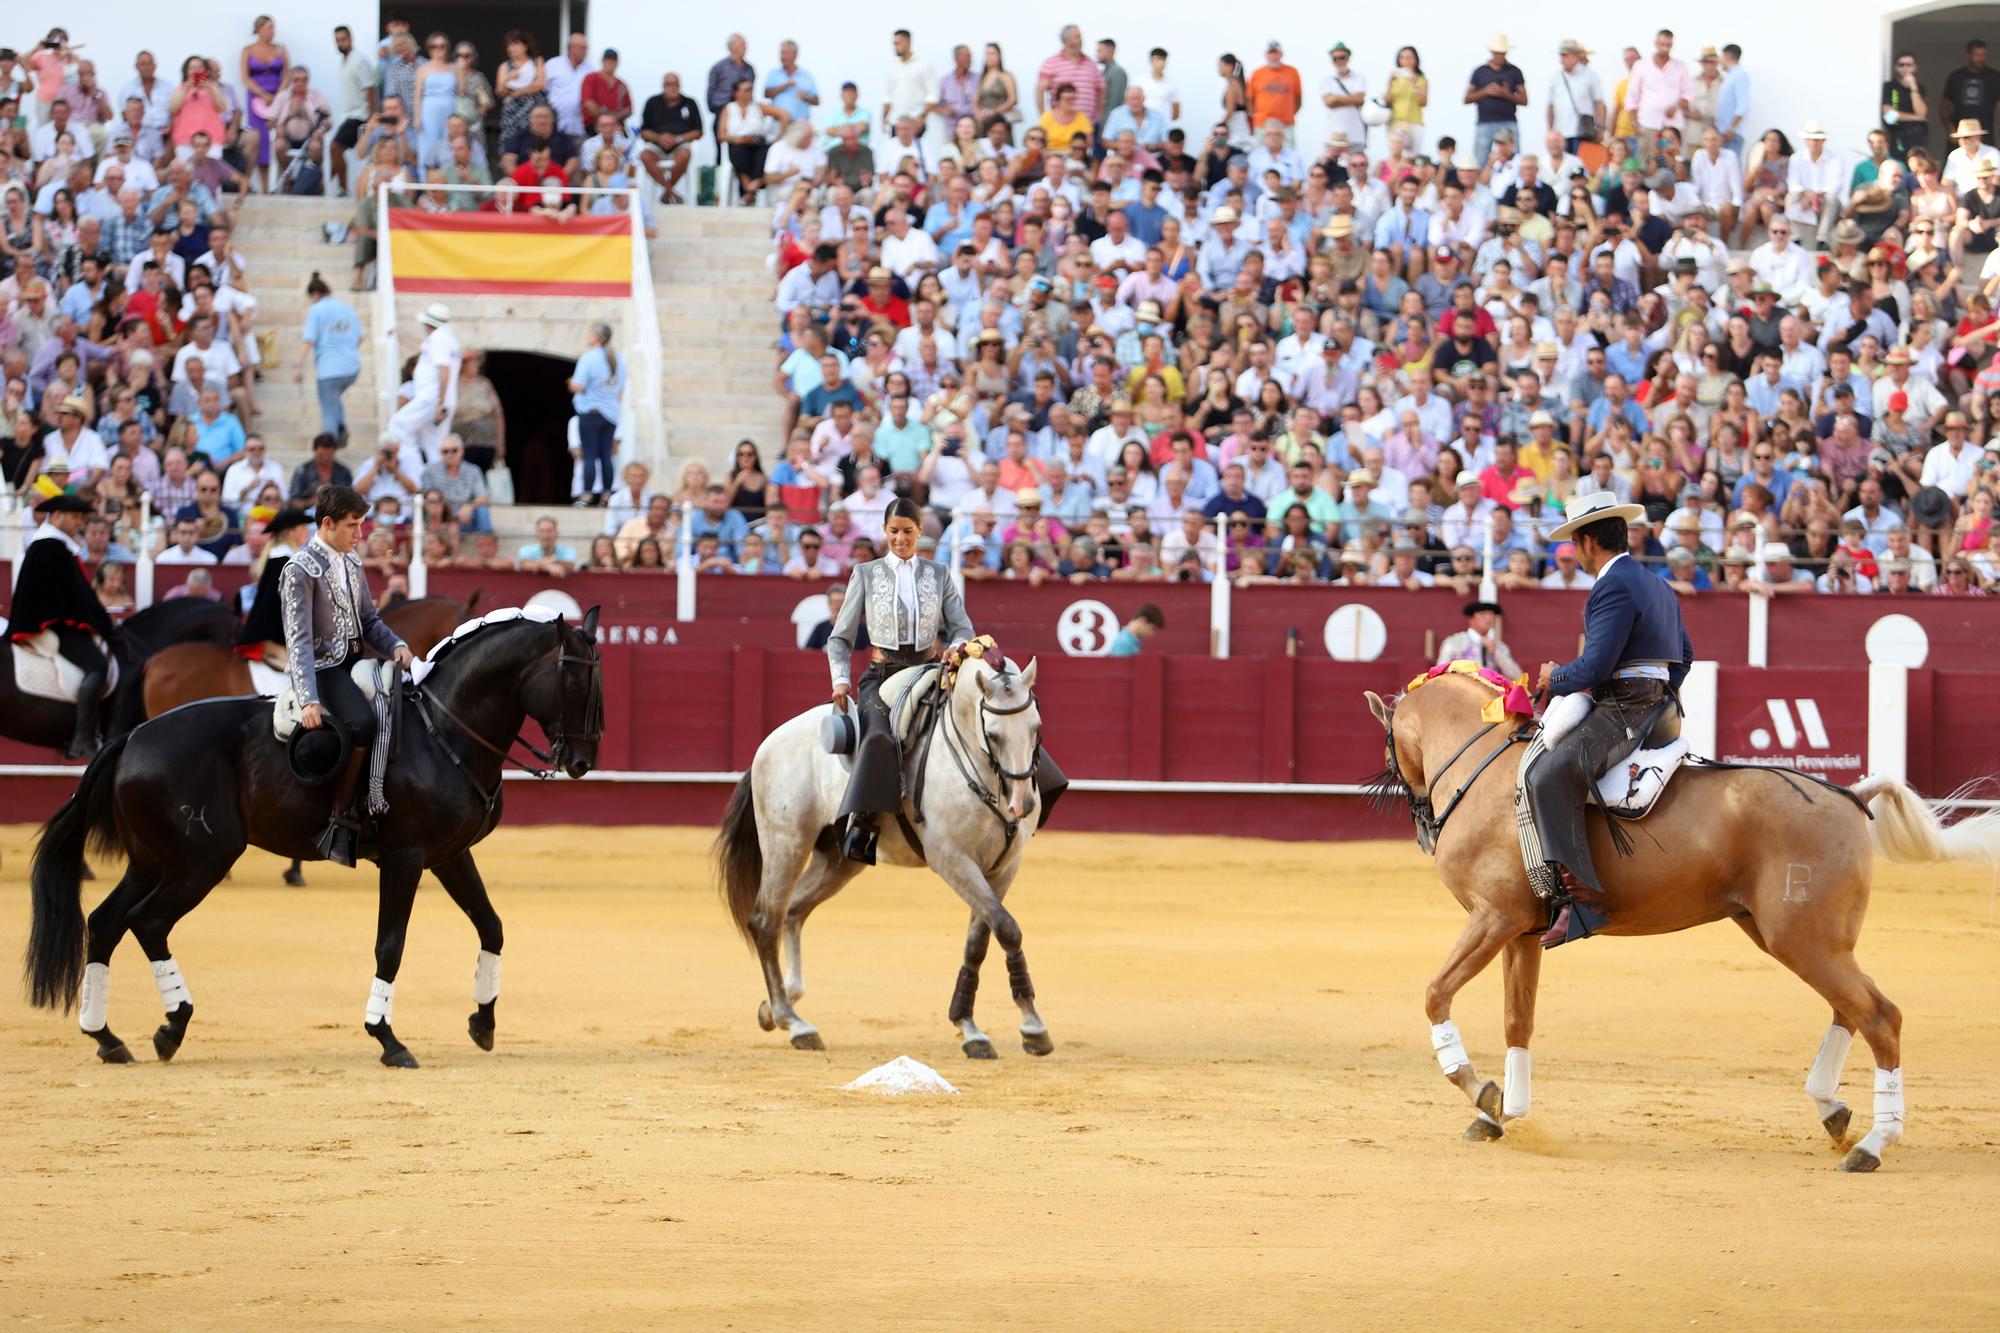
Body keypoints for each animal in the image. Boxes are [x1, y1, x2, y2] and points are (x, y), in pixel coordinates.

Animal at [27, 608, 604, 1064]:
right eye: (576, 683)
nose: (582, 762)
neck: (442, 730)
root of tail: (133, 737)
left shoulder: (449, 855)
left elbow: (492, 926)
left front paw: (482, 1023)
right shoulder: (405, 858)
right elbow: (390, 945)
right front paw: (387, 1038)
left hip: (152, 861)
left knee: (105, 922)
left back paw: (107, 1037)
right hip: (199, 862)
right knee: (146, 922)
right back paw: (172, 1026)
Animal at [724, 648, 1064, 1056]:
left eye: (1036, 727)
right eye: (993, 734)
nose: (1022, 805)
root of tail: (768, 744)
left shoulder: (1003, 867)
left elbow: (981, 940)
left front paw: (978, 1025)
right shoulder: (950, 858)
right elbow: (1007, 928)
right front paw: (1026, 1027)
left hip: (837, 859)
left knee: (793, 912)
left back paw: (778, 1008)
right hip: (785, 842)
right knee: (766, 921)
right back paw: (794, 1023)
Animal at [1360, 668, 2000, 1168]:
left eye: (1388, 749)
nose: (1423, 827)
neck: (1485, 770)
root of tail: (1849, 797)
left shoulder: (1493, 919)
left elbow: (1435, 993)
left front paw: (1481, 1092)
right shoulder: (1521, 931)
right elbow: (1519, 1020)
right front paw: (1504, 1113)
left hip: (1803, 939)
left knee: (1880, 1015)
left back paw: (1872, 1143)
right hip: (1798, 937)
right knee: (1853, 1008)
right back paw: (1833, 1110)